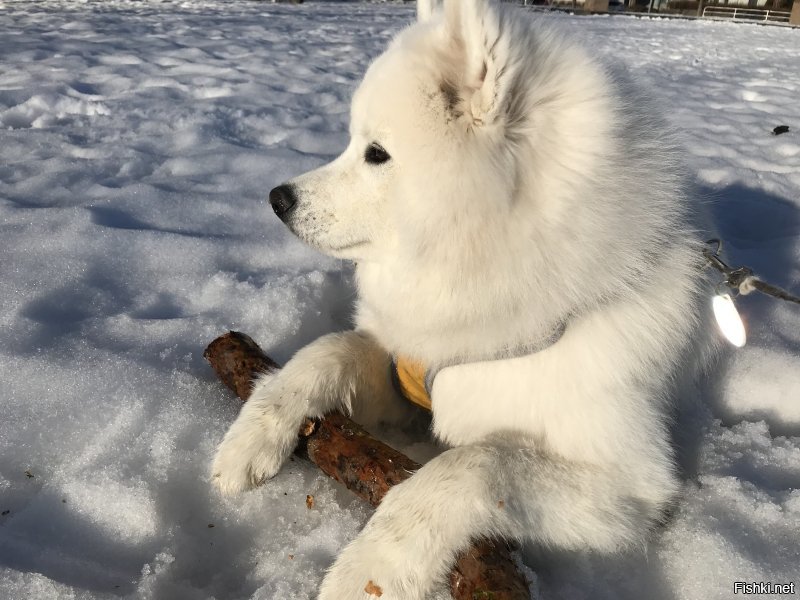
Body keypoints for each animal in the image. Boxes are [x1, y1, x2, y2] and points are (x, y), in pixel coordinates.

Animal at [211, 2, 712, 596]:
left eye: (376, 154)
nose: (276, 198)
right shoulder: (404, 377)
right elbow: (327, 352)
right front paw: (250, 438)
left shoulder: (631, 483)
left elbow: (474, 463)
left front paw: (371, 570)